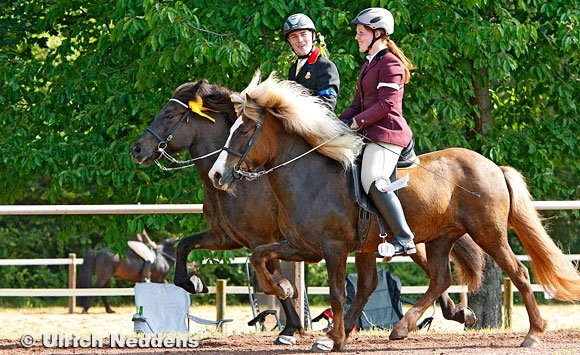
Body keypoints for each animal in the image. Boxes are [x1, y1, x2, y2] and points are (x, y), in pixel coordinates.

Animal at [130, 79, 484, 346]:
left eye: (170, 113)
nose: (137, 149)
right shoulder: (227, 237)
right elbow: (184, 245)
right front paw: (192, 283)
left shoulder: (262, 237)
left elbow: (272, 276)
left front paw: (290, 325)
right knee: (415, 276)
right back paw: (448, 315)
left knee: (430, 270)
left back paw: (447, 316)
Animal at [211, 71, 580, 352]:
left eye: (245, 130)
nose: (216, 175)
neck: (309, 175)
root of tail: (492, 166)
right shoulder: (305, 246)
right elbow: (260, 255)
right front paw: (288, 293)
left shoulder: (333, 249)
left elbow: (336, 293)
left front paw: (331, 337)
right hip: (439, 238)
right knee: (438, 278)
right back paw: (403, 326)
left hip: (488, 233)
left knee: (518, 272)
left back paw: (533, 334)